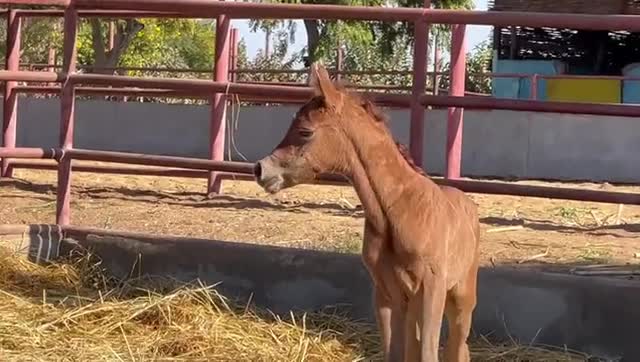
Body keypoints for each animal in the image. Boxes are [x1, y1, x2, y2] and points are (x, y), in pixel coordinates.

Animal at [252, 63, 478, 360]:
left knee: (458, 345)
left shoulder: (432, 289)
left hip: (461, 297)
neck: (398, 210)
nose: (260, 169)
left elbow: (429, 352)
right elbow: (395, 351)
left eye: (305, 131)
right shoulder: (385, 293)